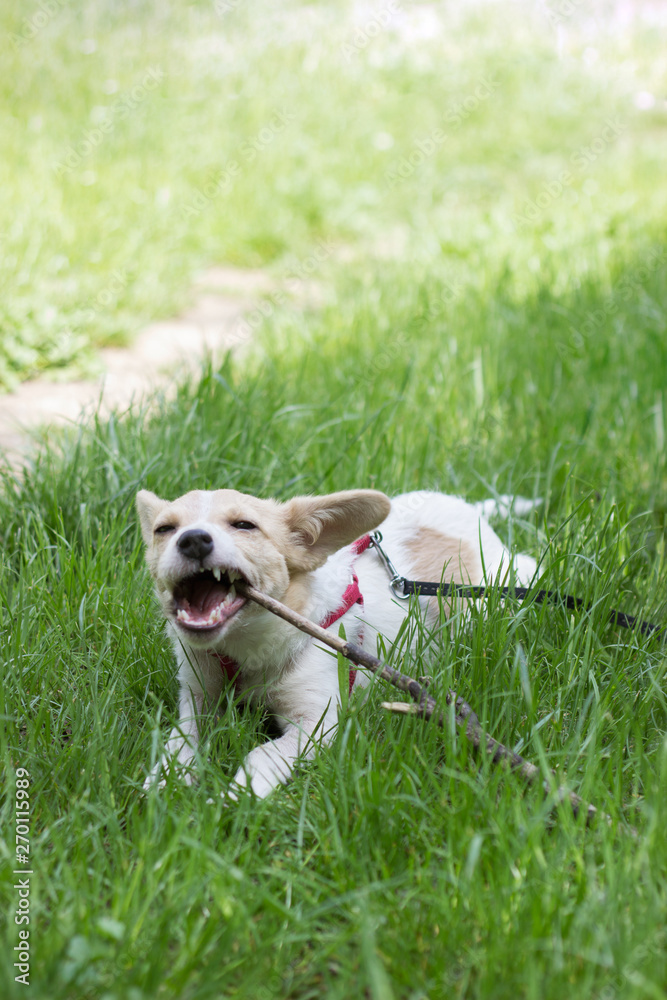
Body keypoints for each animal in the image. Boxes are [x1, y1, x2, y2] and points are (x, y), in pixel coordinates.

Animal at [137, 484, 536, 796]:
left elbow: (261, 755)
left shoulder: (318, 723)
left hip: (508, 583)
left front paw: (235, 798)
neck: (243, 652)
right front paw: (162, 785)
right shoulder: (198, 699)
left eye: (244, 525)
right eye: (164, 529)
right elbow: (179, 742)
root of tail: (470, 510)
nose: (192, 540)